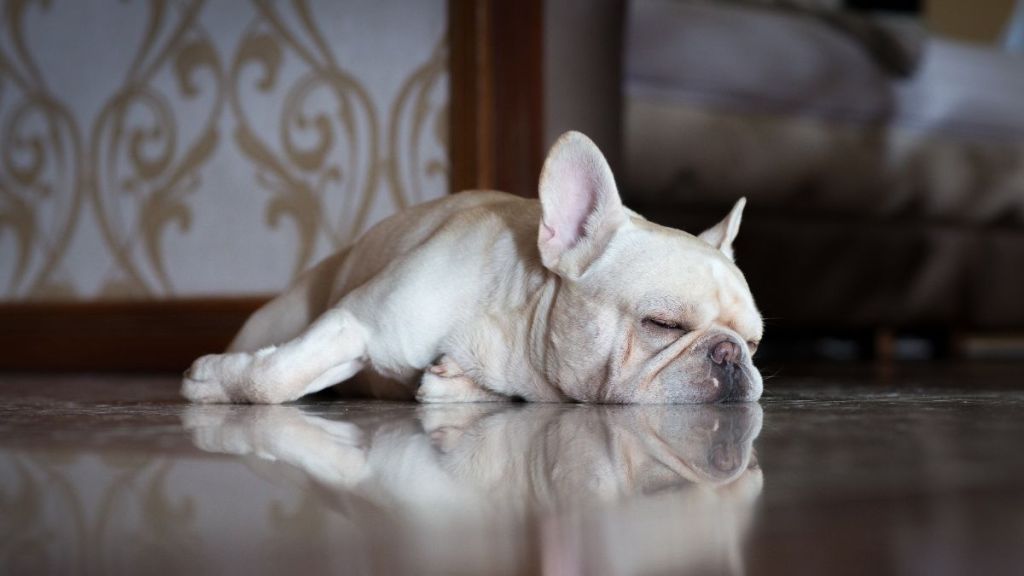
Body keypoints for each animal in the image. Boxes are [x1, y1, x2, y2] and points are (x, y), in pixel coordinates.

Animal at [182, 130, 761, 403]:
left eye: (754, 343)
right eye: (663, 325)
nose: (730, 354)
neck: (513, 319)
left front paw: (453, 382)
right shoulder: (357, 324)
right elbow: (273, 378)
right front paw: (214, 381)